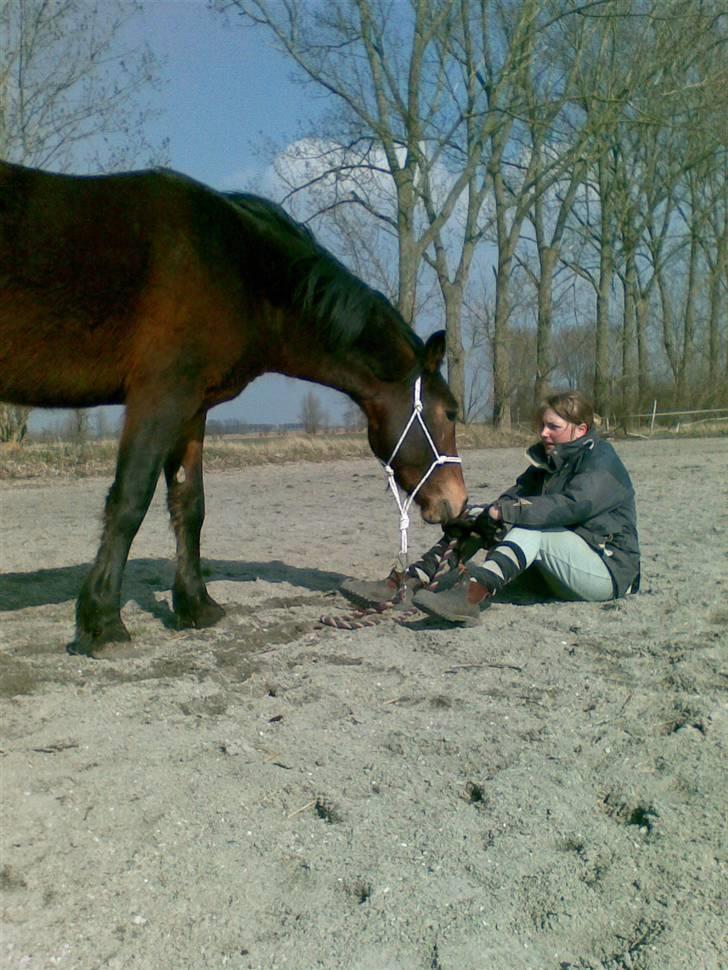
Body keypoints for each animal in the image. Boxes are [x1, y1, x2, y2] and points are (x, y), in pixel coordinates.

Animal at [0, 163, 466, 656]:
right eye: (450, 412)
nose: (458, 501)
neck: (239, 268)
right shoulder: (159, 397)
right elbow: (130, 500)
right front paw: (103, 623)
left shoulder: (190, 410)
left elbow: (190, 505)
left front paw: (196, 606)